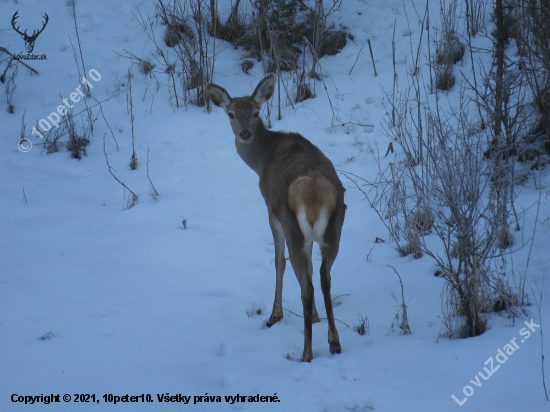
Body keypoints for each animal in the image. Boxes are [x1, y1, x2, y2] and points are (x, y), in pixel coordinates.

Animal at [209, 74, 348, 360]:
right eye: (231, 114)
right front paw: (315, 316)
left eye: (255, 112)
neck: (261, 161)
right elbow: (309, 268)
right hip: (335, 228)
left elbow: (277, 261)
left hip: (293, 225)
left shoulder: (271, 212)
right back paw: (334, 342)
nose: (245, 134)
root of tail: (314, 193)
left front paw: (275, 314)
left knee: (306, 284)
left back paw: (306, 353)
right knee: (324, 276)